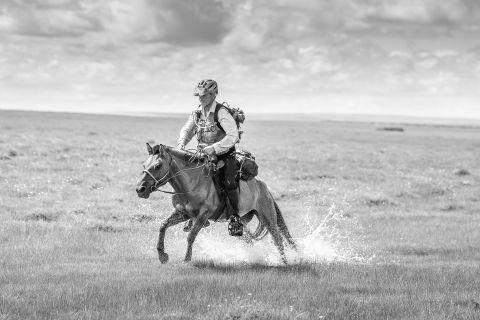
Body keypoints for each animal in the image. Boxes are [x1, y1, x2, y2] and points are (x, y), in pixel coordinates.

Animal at [135, 144, 296, 264]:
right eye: (144, 164)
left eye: (158, 165)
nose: (140, 189)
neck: (192, 184)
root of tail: (263, 186)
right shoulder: (182, 213)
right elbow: (163, 226)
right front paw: (162, 255)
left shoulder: (203, 216)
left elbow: (191, 236)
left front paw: (186, 259)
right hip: (242, 223)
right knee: (250, 240)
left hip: (268, 218)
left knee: (278, 239)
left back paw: (283, 263)